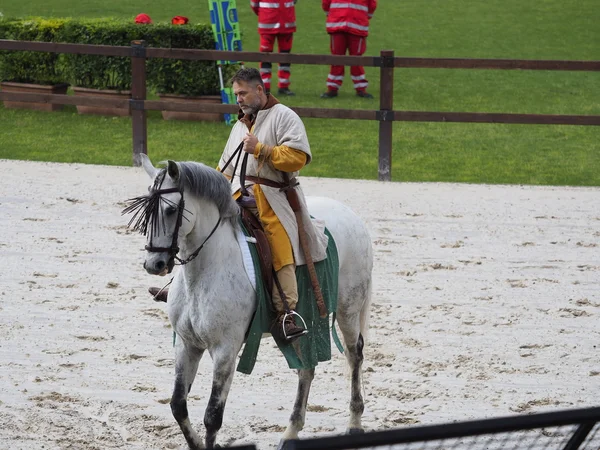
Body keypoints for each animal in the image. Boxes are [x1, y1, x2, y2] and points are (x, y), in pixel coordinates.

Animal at [127, 154, 370, 446]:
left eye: (171, 210)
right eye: (147, 212)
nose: (155, 264)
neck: (206, 270)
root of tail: (351, 216)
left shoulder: (225, 350)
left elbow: (212, 416)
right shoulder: (187, 345)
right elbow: (178, 405)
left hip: (348, 310)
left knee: (354, 355)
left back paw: (354, 422)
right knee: (306, 369)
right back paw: (291, 431)